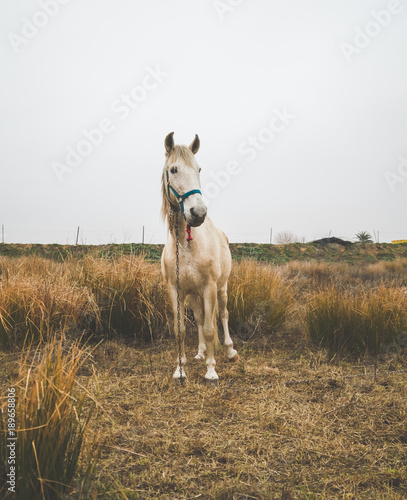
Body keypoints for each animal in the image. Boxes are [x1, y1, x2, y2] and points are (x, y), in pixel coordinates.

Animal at [162, 131, 241, 380]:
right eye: (173, 169)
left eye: (198, 169)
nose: (198, 213)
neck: (186, 244)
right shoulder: (177, 290)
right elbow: (181, 329)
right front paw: (180, 369)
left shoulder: (209, 287)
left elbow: (209, 328)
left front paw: (211, 371)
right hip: (193, 295)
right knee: (198, 318)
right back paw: (200, 352)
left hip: (221, 288)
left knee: (223, 314)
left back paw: (230, 351)